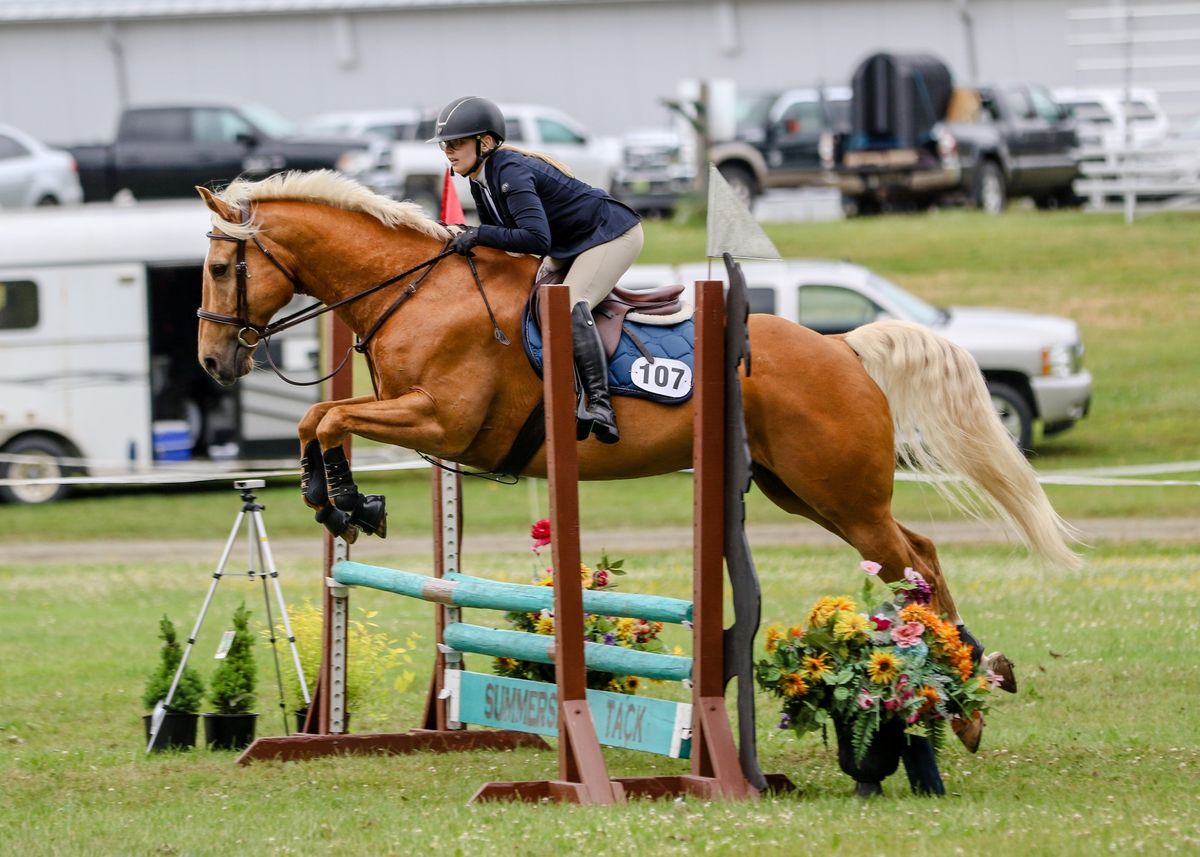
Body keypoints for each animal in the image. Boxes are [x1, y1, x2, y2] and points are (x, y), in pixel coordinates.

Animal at [196, 170, 1080, 633]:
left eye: (217, 268)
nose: (210, 361)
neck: (417, 289)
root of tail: (842, 346)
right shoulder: (420, 420)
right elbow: (317, 418)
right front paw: (340, 500)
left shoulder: (442, 420)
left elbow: (327, 415)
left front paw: (346, 501)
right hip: (806, 492)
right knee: (916, 554)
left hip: (842, 494)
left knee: (915, 562)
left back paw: (964, 687)